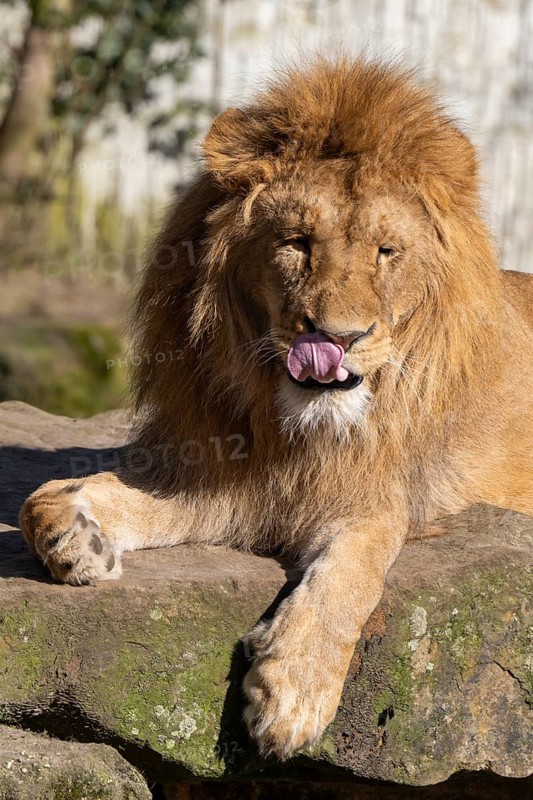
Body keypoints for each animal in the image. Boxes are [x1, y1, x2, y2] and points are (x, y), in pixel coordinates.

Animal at [20, 58, 533, 759]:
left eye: (386, 252)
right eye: (297, 243)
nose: (338, 337)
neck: (295, 423)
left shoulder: (382, 499)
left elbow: (353, 570)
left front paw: (292, 691)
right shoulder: (218, 478)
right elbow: (43, 500)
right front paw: (79, 536)